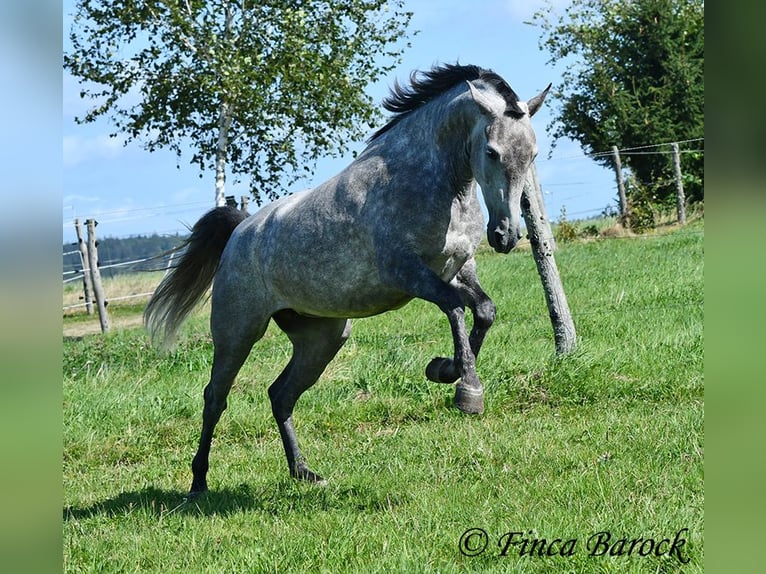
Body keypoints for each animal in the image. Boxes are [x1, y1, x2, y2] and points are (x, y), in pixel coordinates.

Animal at [146, 63, 552, 496]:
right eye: (491, 152)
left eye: (532, 154)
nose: (505, 235)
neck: (434, 183)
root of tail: (240, 231)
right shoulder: (407, 274)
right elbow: (456, 308)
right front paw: (467, 391)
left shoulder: (459, 267)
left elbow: (485, 310)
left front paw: (445, 369)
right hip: (237, 332)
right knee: (215, 398)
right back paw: (199, 482)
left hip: (323, 337)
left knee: (281, 395)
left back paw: (304, 473)